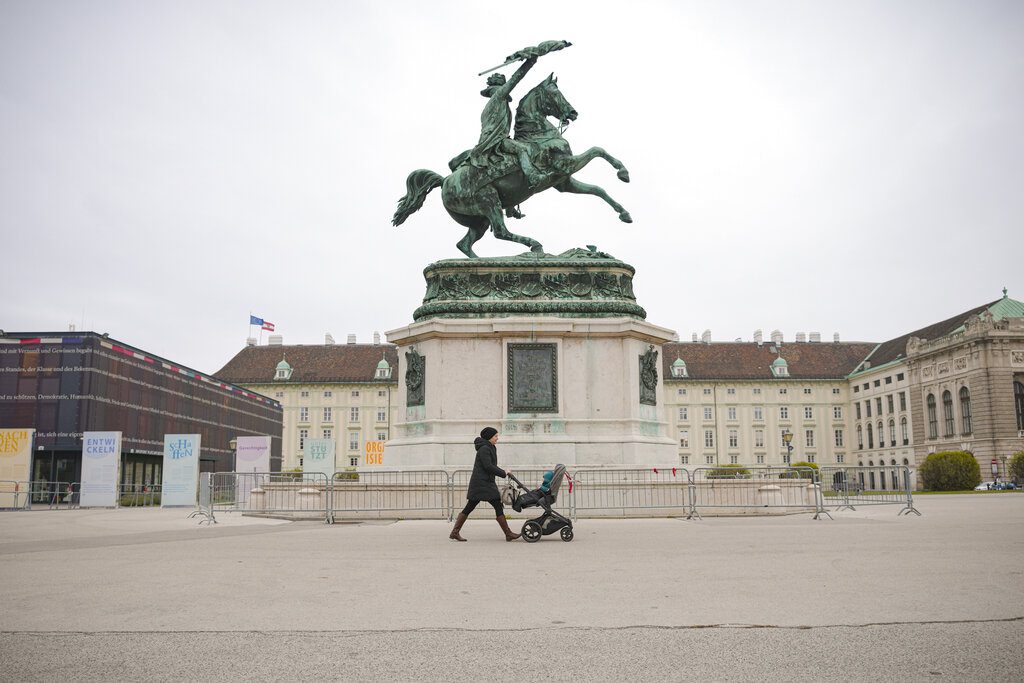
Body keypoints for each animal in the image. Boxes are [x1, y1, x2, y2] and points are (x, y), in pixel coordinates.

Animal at [391, 73, 630, 258]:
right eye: (555, 93)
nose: (573, 113)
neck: (539, 135)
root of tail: (444, 182)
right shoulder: (566, 165)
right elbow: (597, 150)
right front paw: (623, 172)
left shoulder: (563, 181)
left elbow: (598, 189)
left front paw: (624, 213)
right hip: (488, 201)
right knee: (500, 232)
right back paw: (534, 246)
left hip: (479, 219)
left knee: (465, 243)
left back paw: (480, 263)